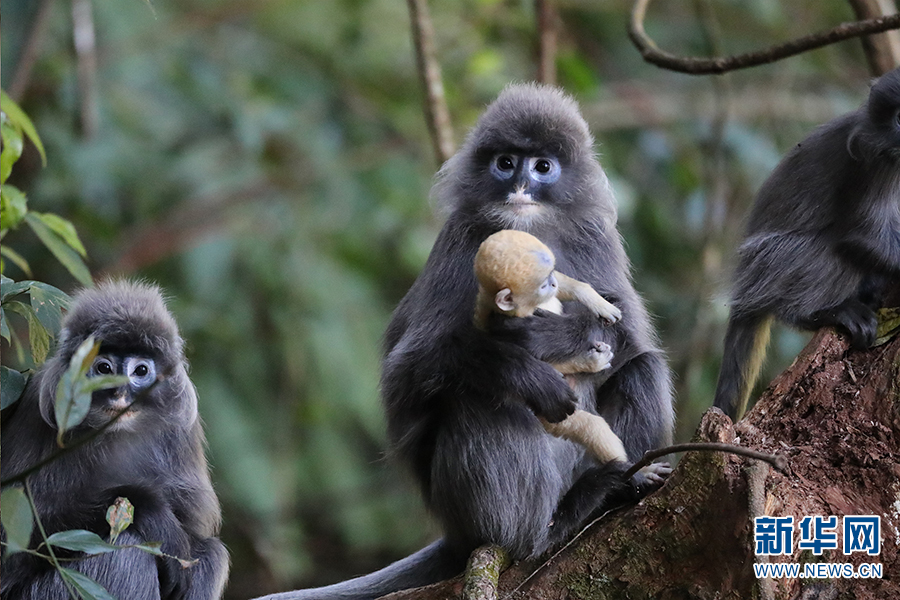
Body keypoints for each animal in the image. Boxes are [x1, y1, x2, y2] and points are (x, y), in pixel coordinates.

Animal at [0, 282, 229, 600]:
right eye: (104, 368)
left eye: (141, 371)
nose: (119, 392)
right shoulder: (37, 406)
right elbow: (14, 543)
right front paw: (153, 512)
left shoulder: (181, 430)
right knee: (125, 548)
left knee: (210, 553)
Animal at [474, 227, 628, 462]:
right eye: (543, 284)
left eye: (550, 276)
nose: (552, 283)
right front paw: (587, 361)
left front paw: (596, 301)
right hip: (556, 416)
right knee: (591, 427)